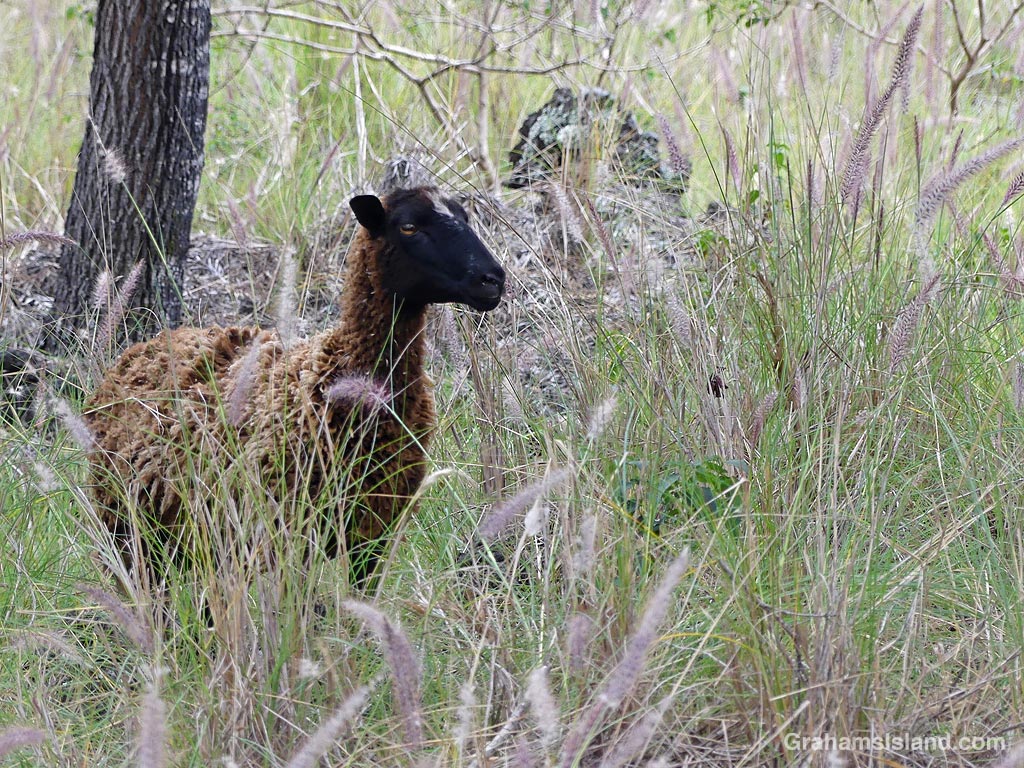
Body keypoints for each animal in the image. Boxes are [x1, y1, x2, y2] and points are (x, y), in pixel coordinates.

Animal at [84, 186, 506, 591]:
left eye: (466, 217)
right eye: (408, 227)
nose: (492, 280)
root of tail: (141, 348)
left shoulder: (373, 530)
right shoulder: (289, 531)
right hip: (131, 533)